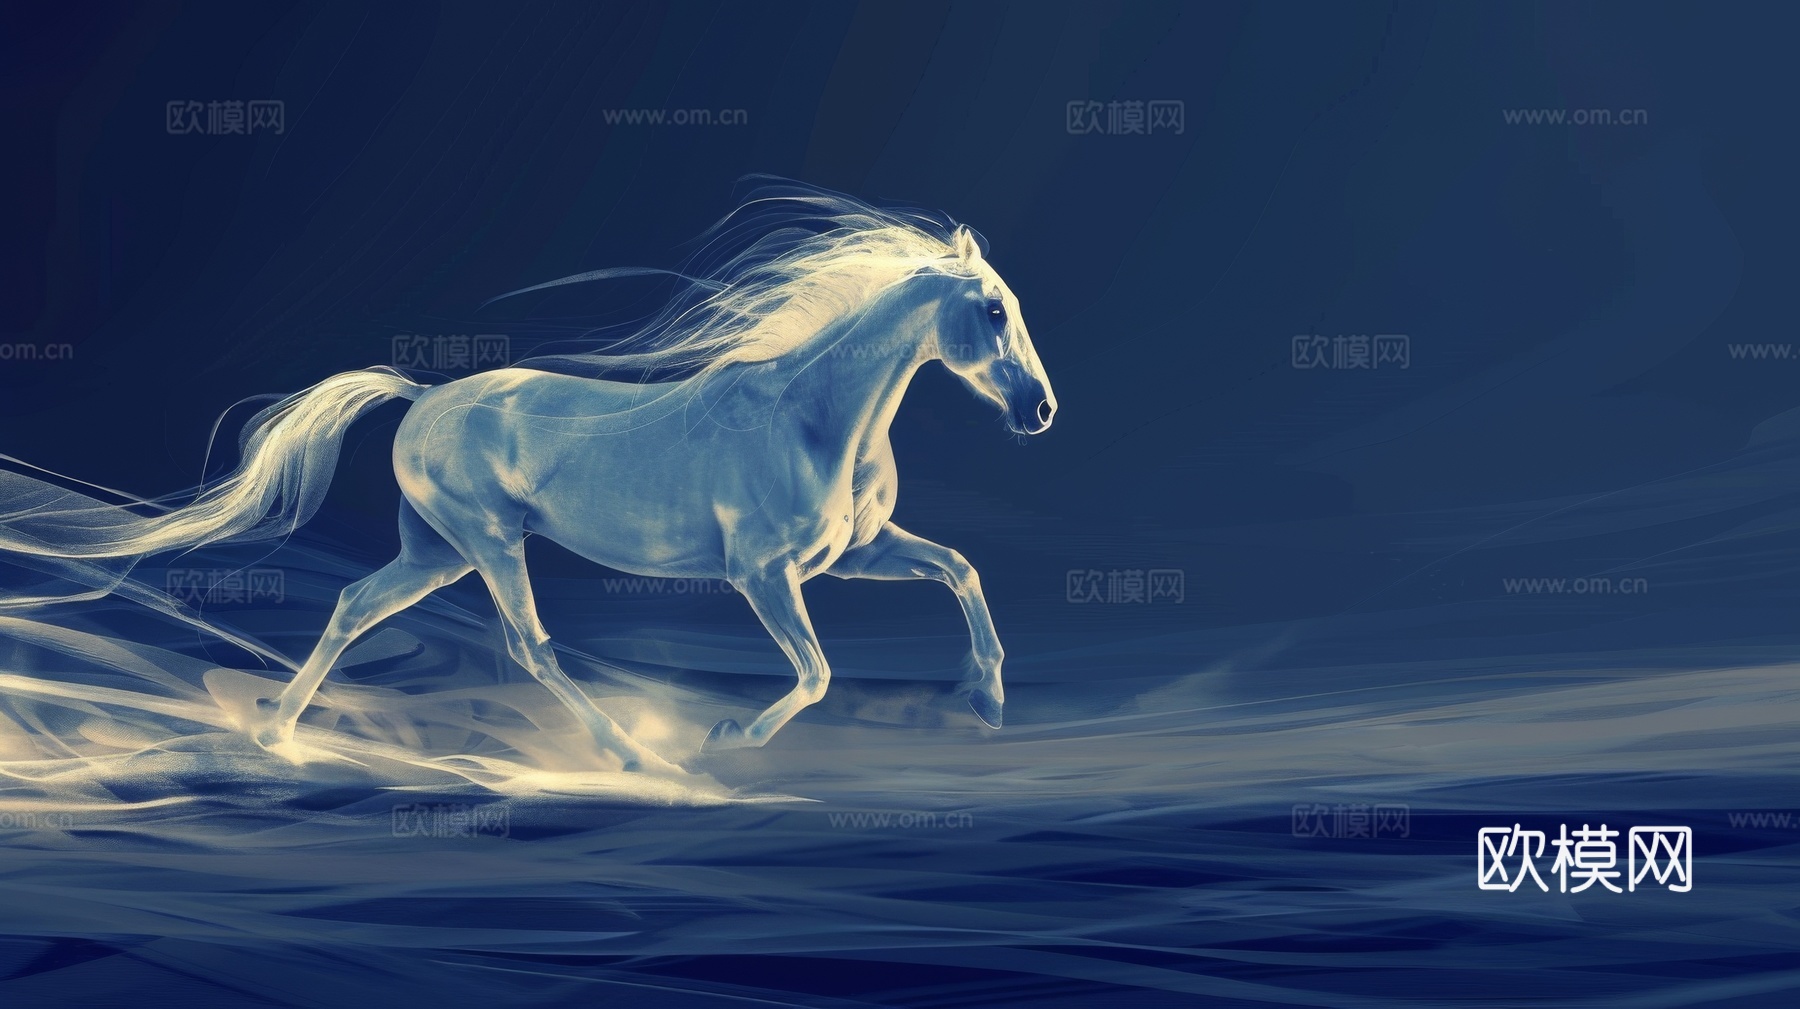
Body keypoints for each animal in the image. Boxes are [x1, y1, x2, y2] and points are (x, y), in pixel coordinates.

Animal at [0, 183, 1056, 773]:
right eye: (994, 310)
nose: (1042, 411)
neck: (813, 414)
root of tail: (421, 395)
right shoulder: (763, 573)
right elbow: (817, 670)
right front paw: (724, 740)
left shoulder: (853, 554)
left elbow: (960, 569)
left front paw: (990, 701)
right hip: (487, 540)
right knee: (531, 645)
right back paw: (637, 754)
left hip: (434, 550)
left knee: (354, 604)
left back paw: (275, 733)